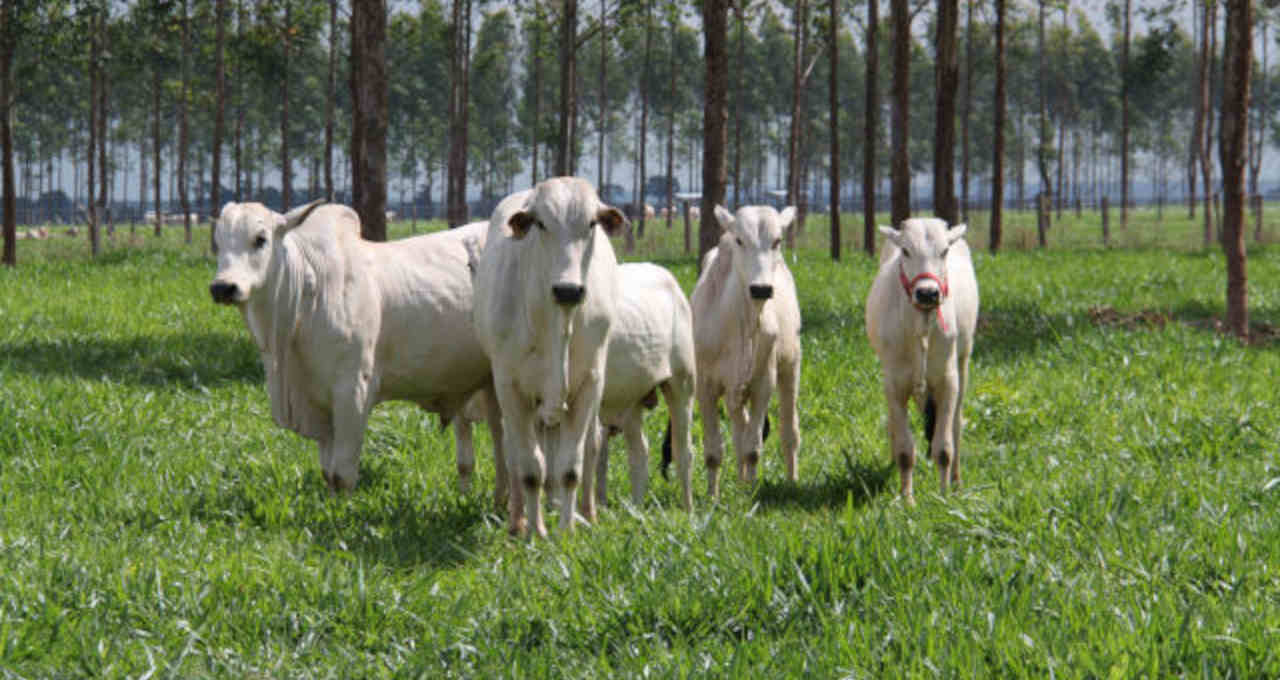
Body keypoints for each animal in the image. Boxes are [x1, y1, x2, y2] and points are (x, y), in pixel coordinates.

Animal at [209, 199, 504, 501]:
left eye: (260, 239)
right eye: (217, 242)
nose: (222, 287)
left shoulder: (353, 393)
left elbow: (342, 476)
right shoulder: (320, 405)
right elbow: (327, 473)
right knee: (467, 452)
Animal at [691, 204, 798, 496]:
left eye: (777, 241)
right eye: (740, 240)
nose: (761, 289)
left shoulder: (764, 382)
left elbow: (752, 448)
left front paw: (750, 492)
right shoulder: (704, 386)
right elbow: (714, 451)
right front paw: (713, 496)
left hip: (791, 366)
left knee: (789, 432)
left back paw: (790, 480)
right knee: (739, 428)